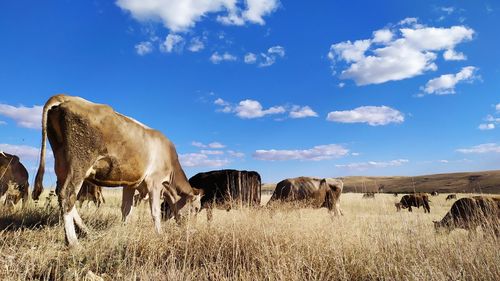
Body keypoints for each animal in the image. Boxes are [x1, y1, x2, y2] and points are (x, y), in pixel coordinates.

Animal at [32, 94, 203, 245]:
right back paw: (73, 242)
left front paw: (124, 231)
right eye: (196, 208)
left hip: (61, 163)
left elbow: (126, 210)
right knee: (67, 196)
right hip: (79, 162)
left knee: (62, 194)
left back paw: (86, 232)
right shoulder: (154, 181)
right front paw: (160, 235)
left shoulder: (131, 184)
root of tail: (66, 97)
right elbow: (154, 212)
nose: (193, 230)